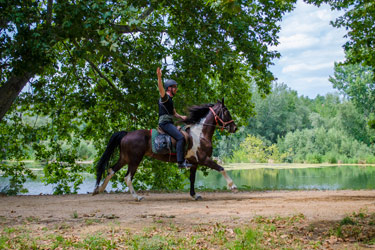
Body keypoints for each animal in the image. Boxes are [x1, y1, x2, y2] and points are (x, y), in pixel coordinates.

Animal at [93, 98, 238, 201]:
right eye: (226, 112)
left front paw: (194, 195)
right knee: (127, 177)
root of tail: (127, 134)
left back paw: (99, 189)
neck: (200, 134)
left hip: (125, 158)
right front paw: (233, 186)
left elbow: (192, 179)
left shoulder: (194, 162)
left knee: (111, 170)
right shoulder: (203, 159)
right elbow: (221, 168)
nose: (234, 128)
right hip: (135, 160)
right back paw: (137, 197)